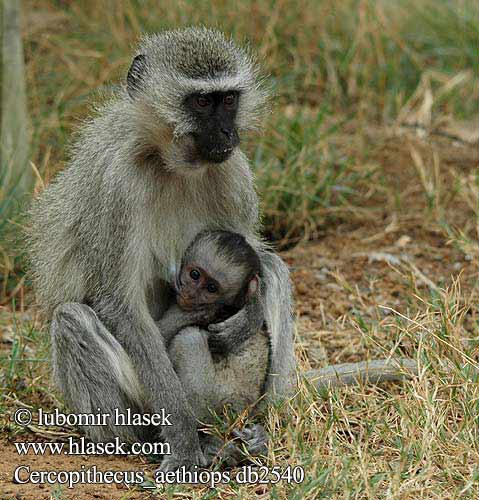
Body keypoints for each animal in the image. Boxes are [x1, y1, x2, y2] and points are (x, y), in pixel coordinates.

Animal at [29, 27, 296, 472]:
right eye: (202, 102)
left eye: (229, 100)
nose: (229, 134)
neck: (170, 163)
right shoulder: (116, 182)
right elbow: (118, 303)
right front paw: (185, 442)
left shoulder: (234, 171)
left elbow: (254, 260)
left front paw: (247, 314)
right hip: (139, 404)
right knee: (72, 320)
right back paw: (158, 442)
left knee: (274, 267)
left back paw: (261, 427)